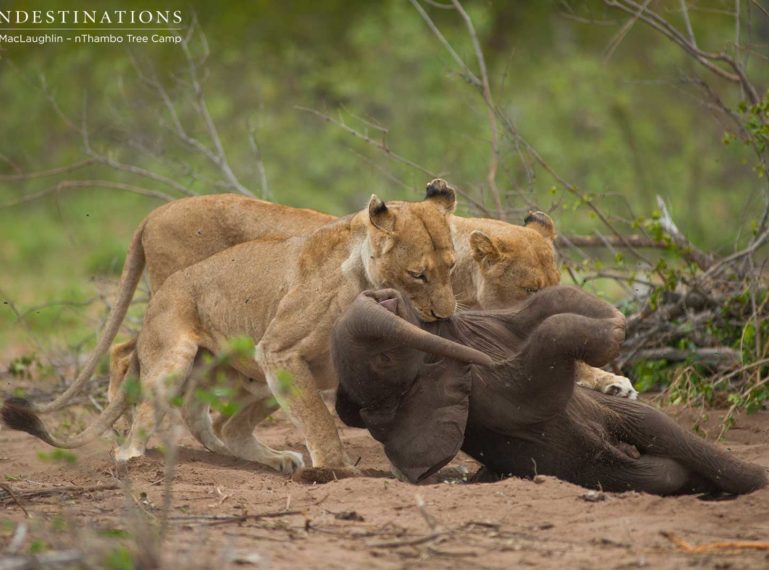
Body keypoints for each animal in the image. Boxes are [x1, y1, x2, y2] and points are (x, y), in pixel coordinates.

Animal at [332, 284, 768, 492]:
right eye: (384, 358)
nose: (381, 295)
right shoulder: (502, 397)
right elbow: (546, 344)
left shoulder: (489, 323)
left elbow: (551, 301)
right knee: (665, 462)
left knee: (654, 427)